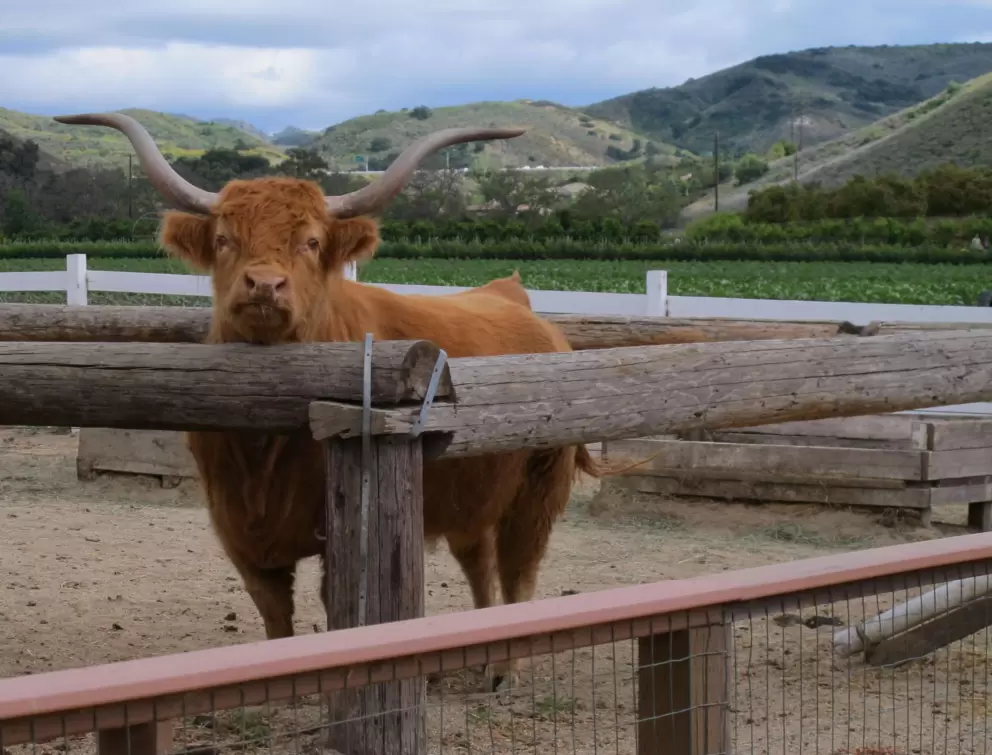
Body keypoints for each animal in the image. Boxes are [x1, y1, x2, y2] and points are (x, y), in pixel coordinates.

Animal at [55, 112, 598, 690]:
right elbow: (273, 609)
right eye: (223, 239)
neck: (261, 448)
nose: (264, 285)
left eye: (311, 242)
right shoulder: (237, 527)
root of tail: (511, 295)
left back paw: (506, 669)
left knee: (519, 569)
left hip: (538, 489)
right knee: (480, 565)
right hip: (469, 493)